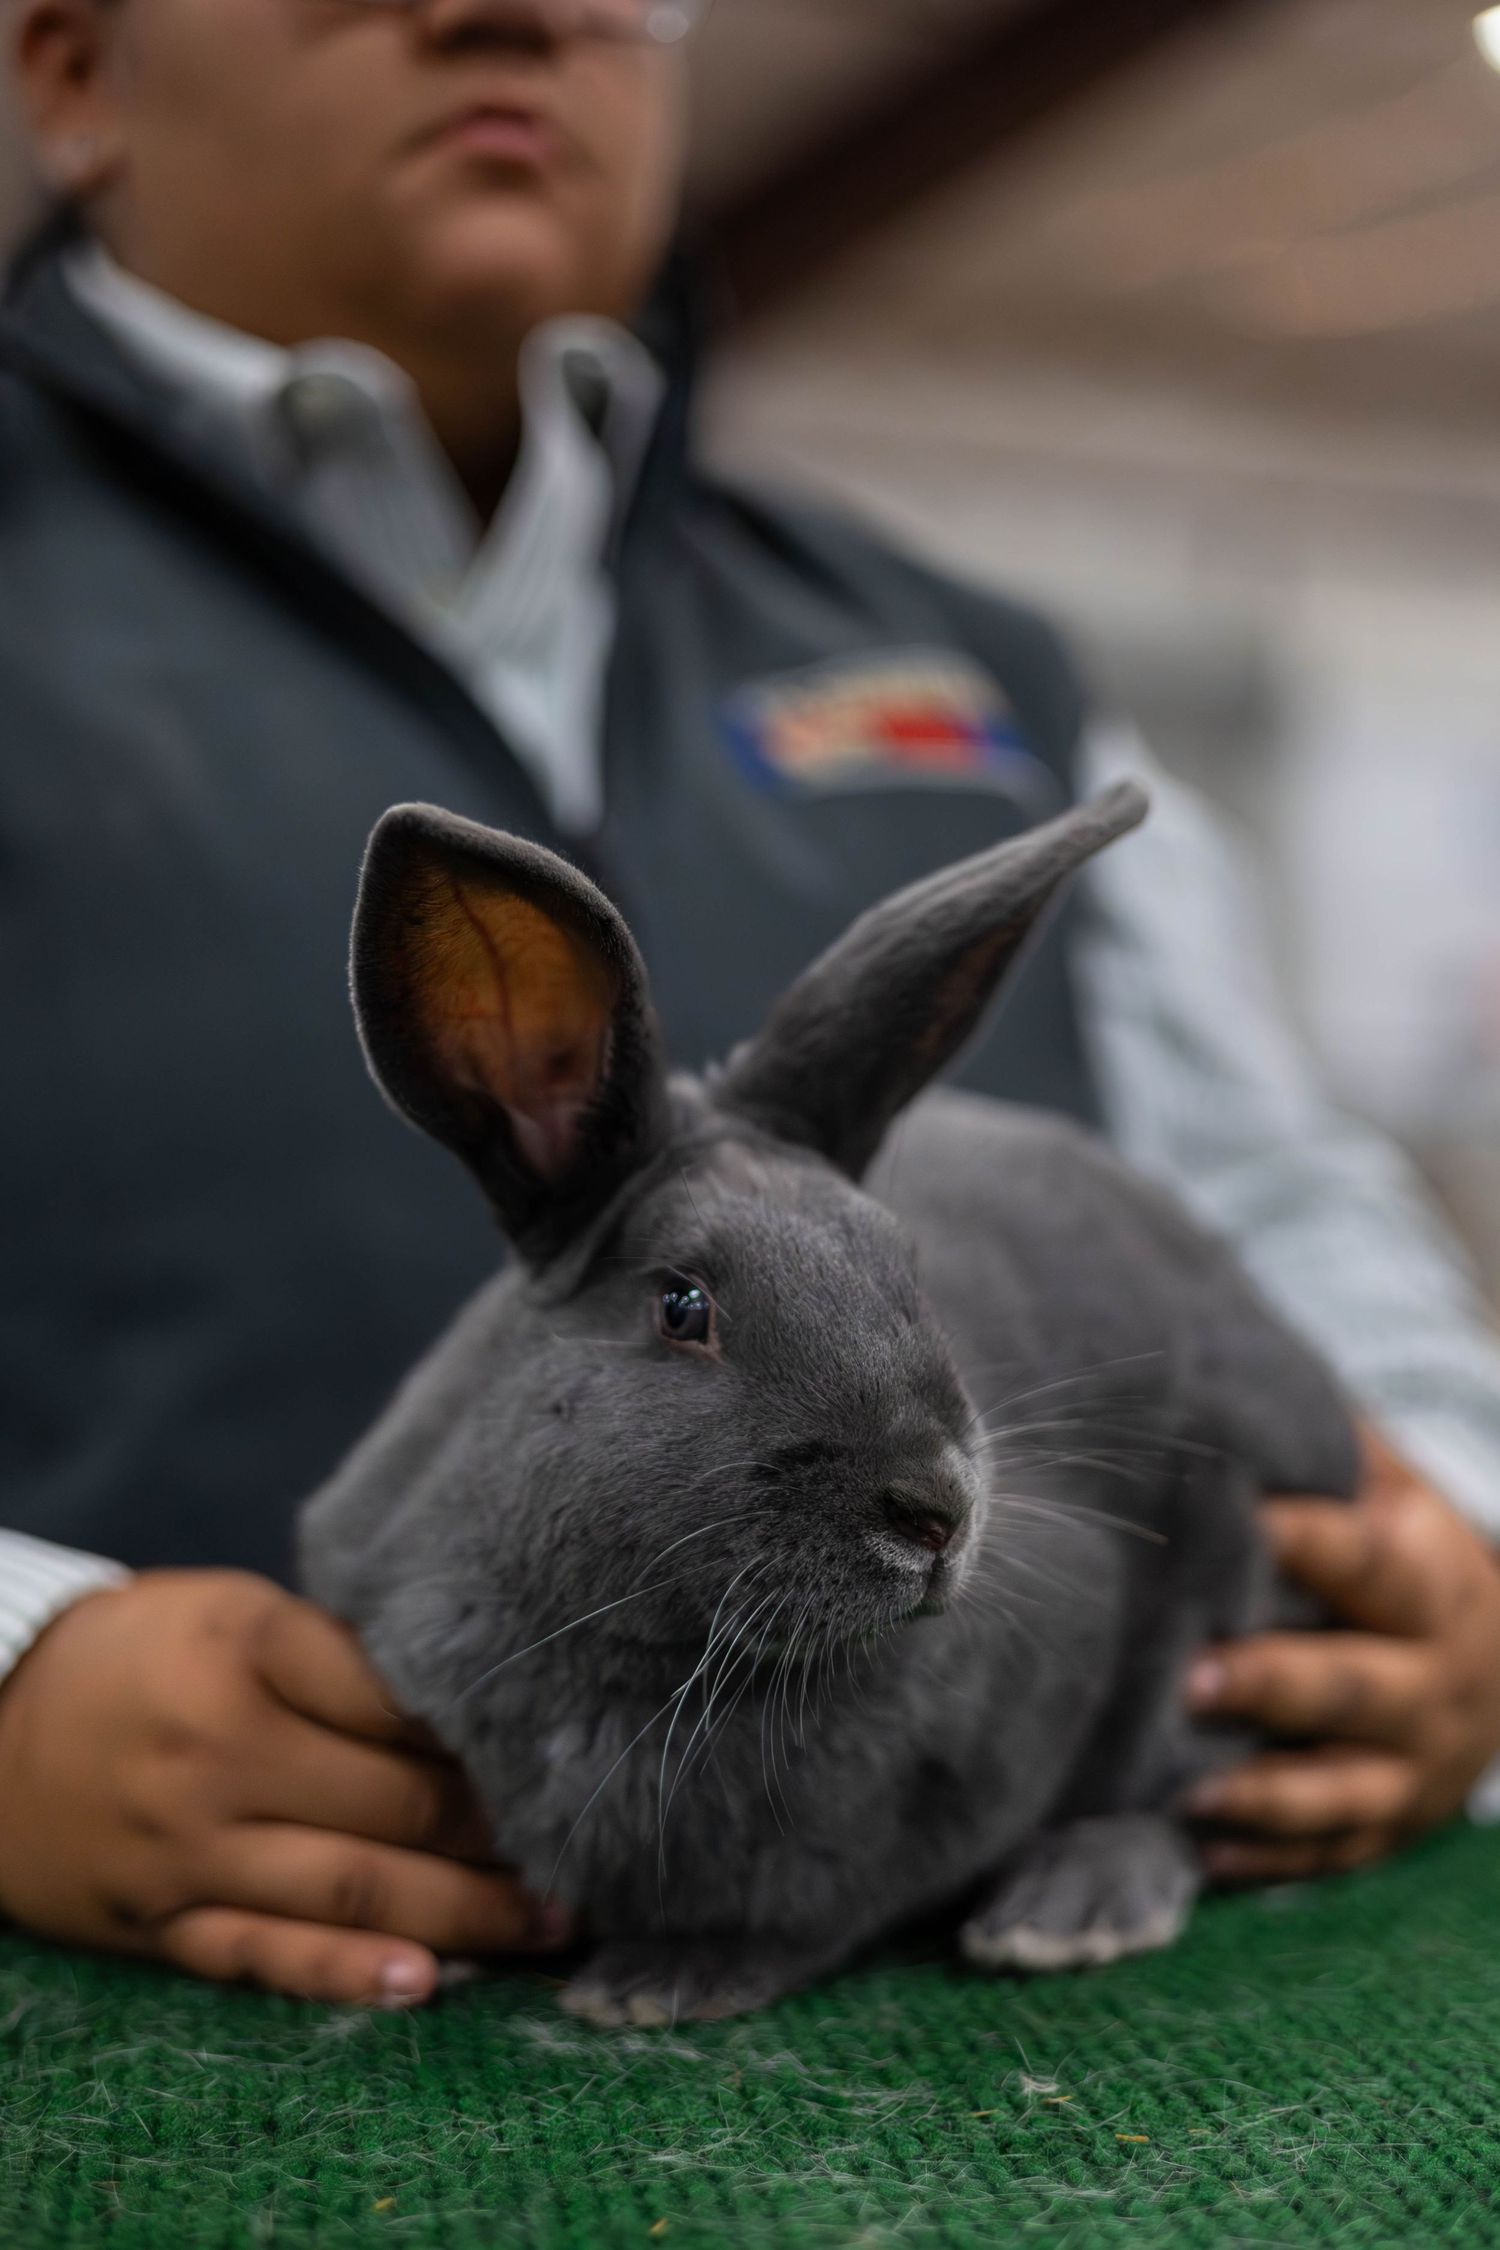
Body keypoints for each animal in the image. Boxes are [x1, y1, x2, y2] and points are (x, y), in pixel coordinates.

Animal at [300, 781, 1359, 2027]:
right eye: (683, 1305)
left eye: (908, 1264)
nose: (936, 1513)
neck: (659, 1651)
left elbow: (822, 1905)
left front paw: (657, 1984)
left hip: (1235, 1613)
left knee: (1186, 1795)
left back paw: (1072, 1907)